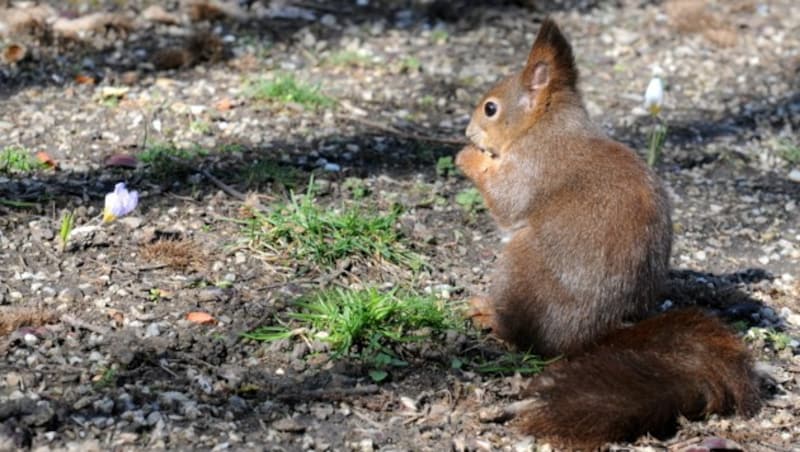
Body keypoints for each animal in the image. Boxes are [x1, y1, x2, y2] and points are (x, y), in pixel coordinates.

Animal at [454, 17, 760, 448]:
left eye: (490, 108)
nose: (467, 131)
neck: (546, 126)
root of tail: (593, 335)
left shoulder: (532, 167)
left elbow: (506, 198)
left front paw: (467, 156)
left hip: (521, 266)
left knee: (524, 336)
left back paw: (488, 315)